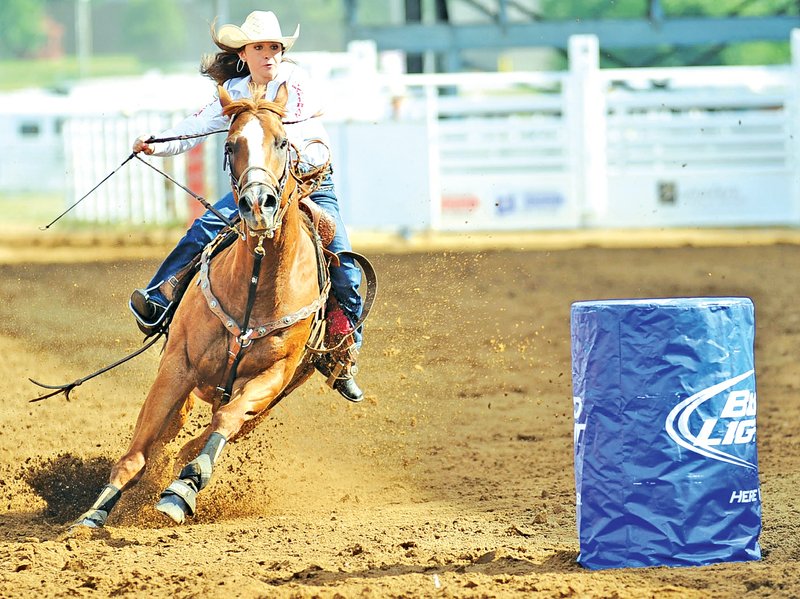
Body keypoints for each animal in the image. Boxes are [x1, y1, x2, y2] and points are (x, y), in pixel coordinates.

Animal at [72, 85, 328, 528]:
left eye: (282, 141)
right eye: (230, 144)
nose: (258, 204)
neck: (256, 282)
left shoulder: (270, 377)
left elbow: (223, 423)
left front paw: (182, 490)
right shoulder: (178, 365)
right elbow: (137, 449)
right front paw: (96, 511)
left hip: (271, 400)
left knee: (206, 434)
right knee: (171, 431)